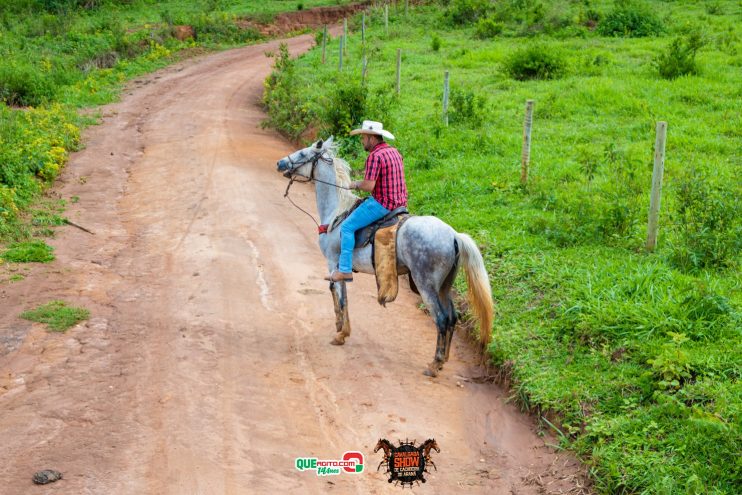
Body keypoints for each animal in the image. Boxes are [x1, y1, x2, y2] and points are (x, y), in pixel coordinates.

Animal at [276, 136, 492, 376]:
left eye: (303, 154)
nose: (280, 164)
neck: (336, 212)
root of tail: (453, 235)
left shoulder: (333, 263)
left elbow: (339, 296)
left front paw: (340, 334)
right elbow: (341, 297)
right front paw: (342, 329)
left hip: (426, 285)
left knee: (442, 319)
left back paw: (434, 364)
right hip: (444, 286)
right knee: (453, 317)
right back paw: (444, 359)